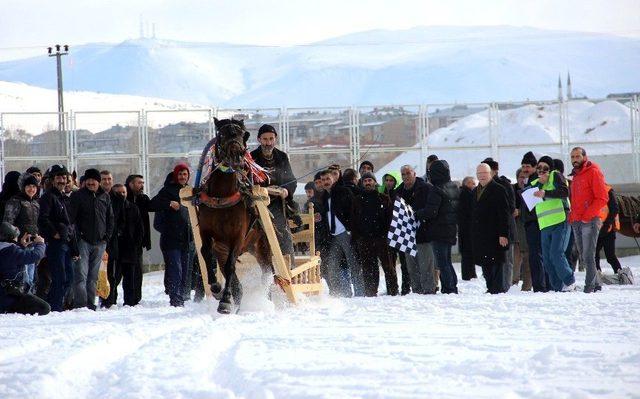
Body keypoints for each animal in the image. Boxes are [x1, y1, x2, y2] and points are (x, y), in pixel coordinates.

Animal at [198, 119, 272, 316]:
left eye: (243, 134)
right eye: (222, 134)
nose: (236, 156)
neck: (222, 195)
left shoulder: (238, 236)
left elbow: (231, 265)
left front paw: (224, 301)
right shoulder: (206, 232)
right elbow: (205, 252)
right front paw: (216, 288)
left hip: (261, 246)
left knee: (267, 273)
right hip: (224, 248)